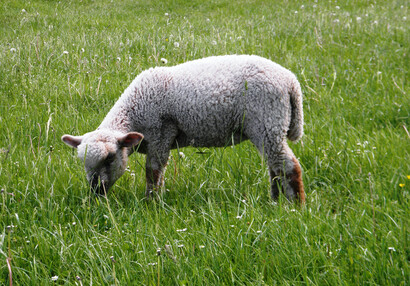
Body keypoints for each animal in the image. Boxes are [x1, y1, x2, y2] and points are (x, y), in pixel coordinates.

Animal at [60, 55, 304, 203]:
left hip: (267, 121)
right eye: (82, 161)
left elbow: (153, 171)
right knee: (275, 168)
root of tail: (291, 82)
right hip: (268, 128)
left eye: (110, 158)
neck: (133, 111)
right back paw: (275, 201)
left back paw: (296, 206)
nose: (96, 191)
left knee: (289, 166)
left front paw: (151, 202)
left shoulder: (161, 134)